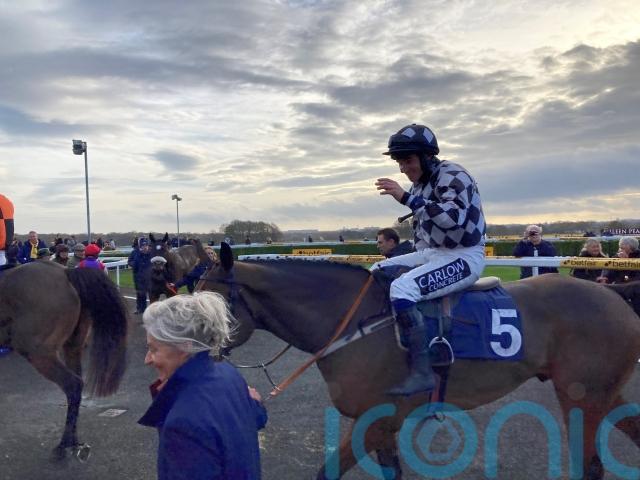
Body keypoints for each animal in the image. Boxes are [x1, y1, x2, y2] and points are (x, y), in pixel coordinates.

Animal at [0, 261, 128, 460]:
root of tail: (66, 272)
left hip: (39, 353)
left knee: (72, 384)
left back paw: (64, 445)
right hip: (72, 346)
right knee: (76, 386)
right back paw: (74, 443)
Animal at [197, 243, 640, 480]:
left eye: (210, 301)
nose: (185, 352)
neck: (354, 321)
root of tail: (613, 293)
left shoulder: (375, 419)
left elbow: (328, 472)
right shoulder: (383, 424)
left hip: (581, 397)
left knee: (592, 466)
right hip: (604, 394)